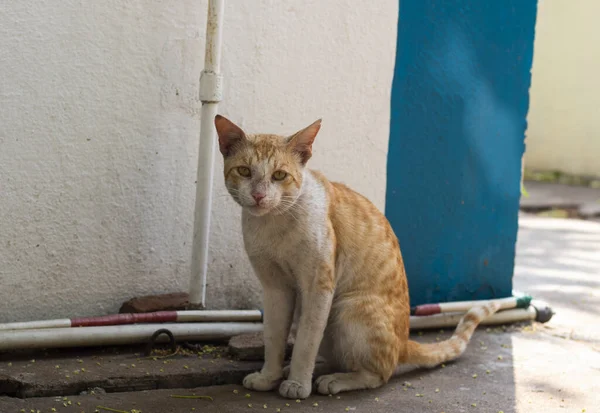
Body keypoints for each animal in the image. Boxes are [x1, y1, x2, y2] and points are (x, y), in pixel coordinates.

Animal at [213, 114, 500, 398]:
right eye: (244, 171)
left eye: (279, 175)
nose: (259, 195)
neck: (272, 225)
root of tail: (404, 342)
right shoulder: (275, 288)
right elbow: (273, 338)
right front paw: (268, 377)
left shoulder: (318, 287)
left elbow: (306, 341)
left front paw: (297, 384)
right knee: (338, 357)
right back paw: (309, 370)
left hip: (347, 309)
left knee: (378, 374)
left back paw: (333, 380)